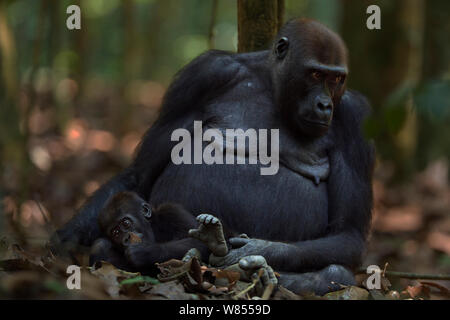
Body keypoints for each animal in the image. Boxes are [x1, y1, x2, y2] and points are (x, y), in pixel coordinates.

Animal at [53, 18, 376, 296]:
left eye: (337, 78)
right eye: (316, 74)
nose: (324, 105)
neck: (272, 84)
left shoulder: (355, 118)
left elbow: (347, 232)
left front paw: (255, 250)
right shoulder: (205, 74)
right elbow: (140, 173)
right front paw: (63, 243)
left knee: (338, 272)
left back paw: (258, 276)